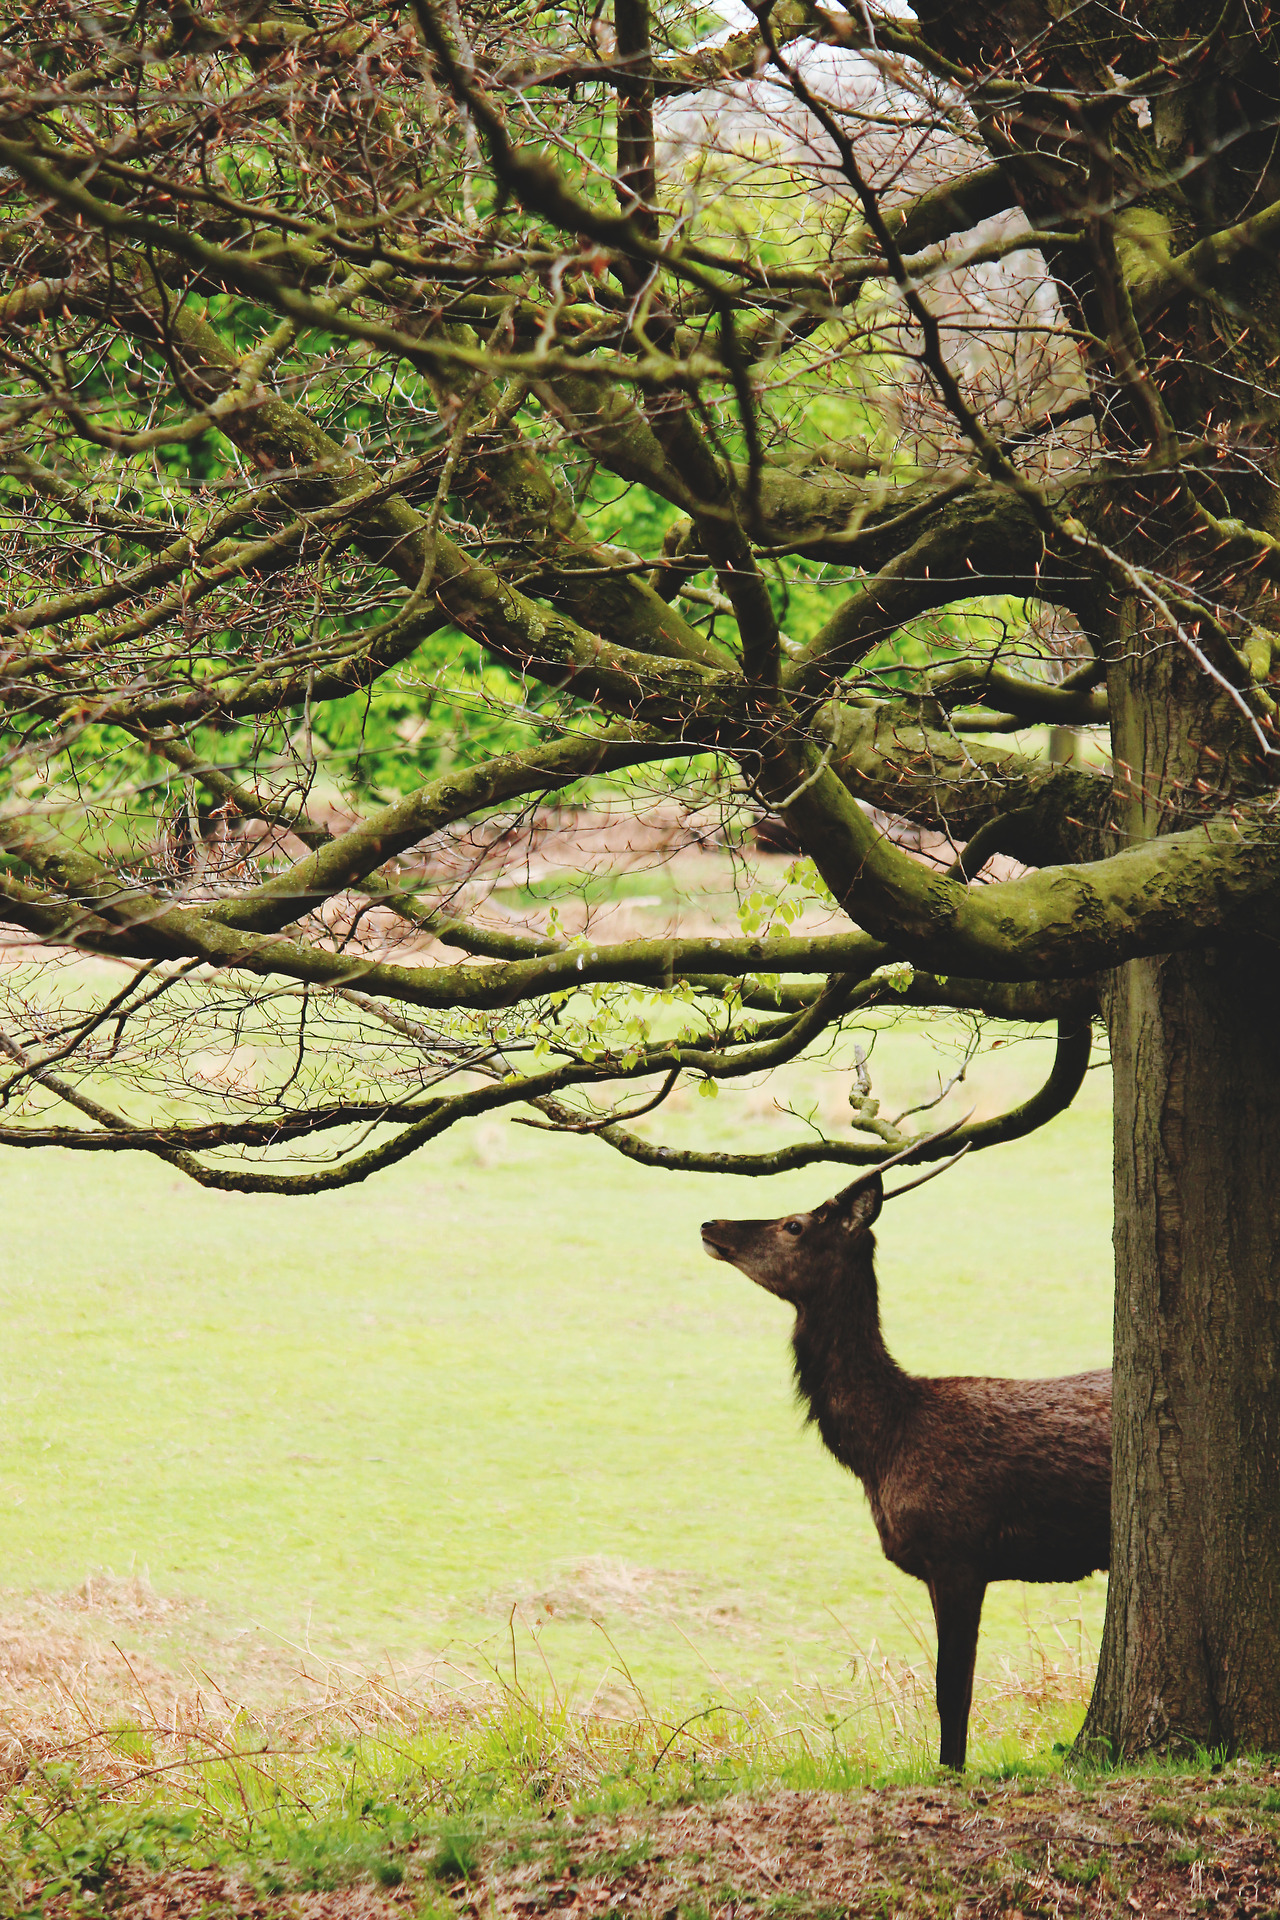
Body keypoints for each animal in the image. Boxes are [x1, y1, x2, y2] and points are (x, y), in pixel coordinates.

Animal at [702, 1136, 1113, 1766]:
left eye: (794, 1224)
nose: (710, 1223)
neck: (882, 1447)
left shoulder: (959, 1552)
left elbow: (953, 1689)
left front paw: (952, 1769)